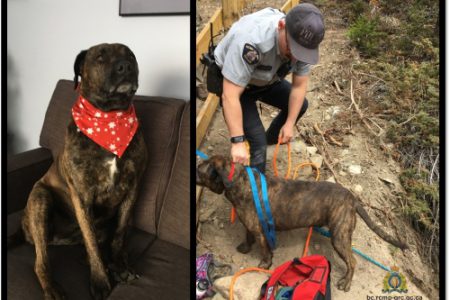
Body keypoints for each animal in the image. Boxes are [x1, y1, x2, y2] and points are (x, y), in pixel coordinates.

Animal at [8, 44, 148, 300]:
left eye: (130, 55)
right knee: (42, 261)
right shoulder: (82, 197)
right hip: (40, 199)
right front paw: (101, 281)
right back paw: (53, 288)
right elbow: (92, 244)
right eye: (100, 57)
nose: (125, 66)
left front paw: (119, 264)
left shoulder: (133, 187)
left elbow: (120, 233)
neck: (109, 117)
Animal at [197, 156, 408, 292]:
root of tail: (352, 198)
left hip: (339, 237)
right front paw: (245, 247)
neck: (239, 181)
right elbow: (247, 236)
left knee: (352, 261)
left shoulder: (260, 230)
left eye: (199, 170)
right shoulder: (252, 226)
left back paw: (346, 282)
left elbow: (265, 251)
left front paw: (264, 264)